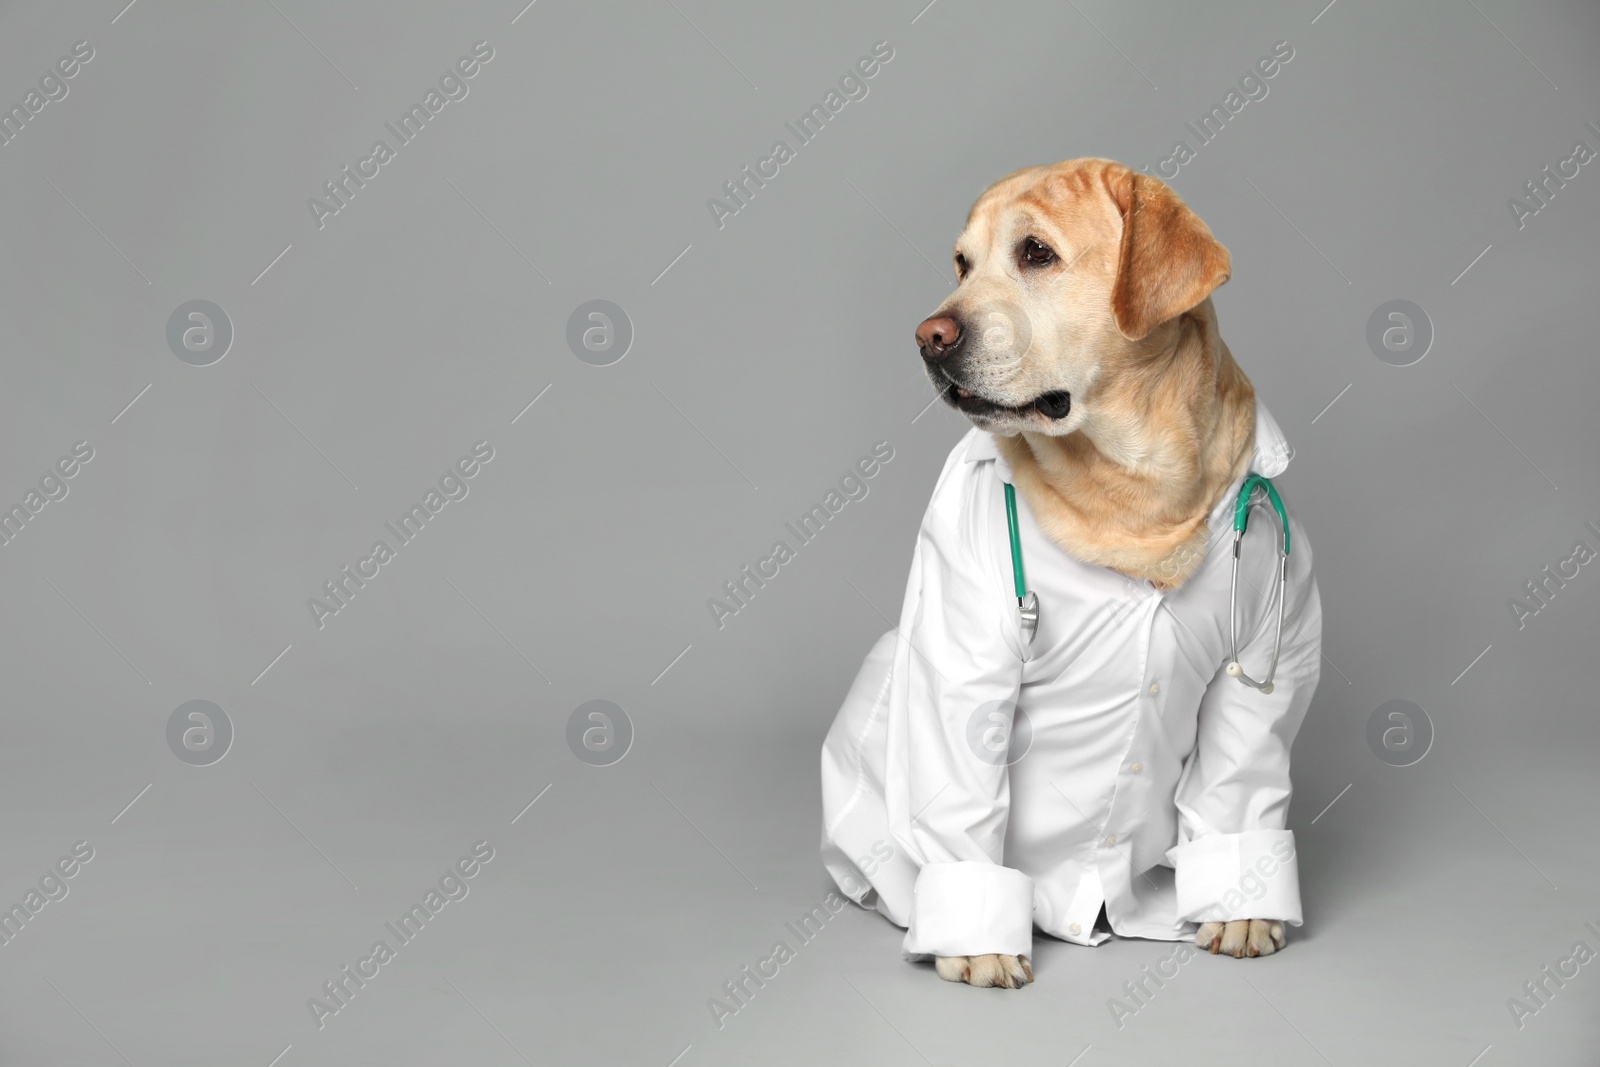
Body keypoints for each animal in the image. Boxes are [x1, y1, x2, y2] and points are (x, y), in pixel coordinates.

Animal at [819, 156, 1318, 985]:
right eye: (963, 264)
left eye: (1036, 253)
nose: (929, 336)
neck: (1135, 490)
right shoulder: (963, 657)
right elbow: (959, 787)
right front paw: (979, 937)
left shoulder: (1268, 656)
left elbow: (1240, 780)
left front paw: (1241, 904)